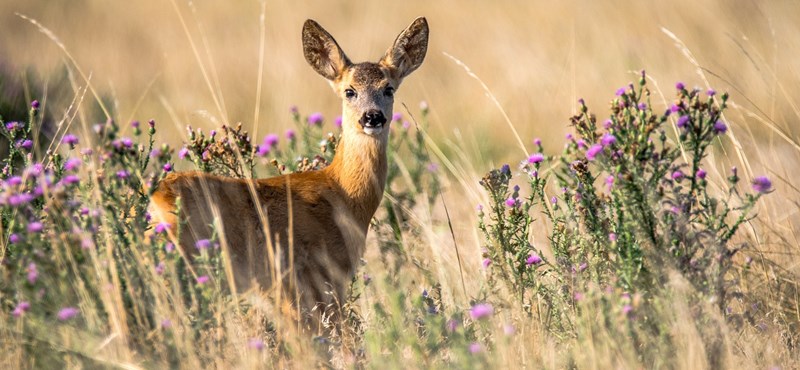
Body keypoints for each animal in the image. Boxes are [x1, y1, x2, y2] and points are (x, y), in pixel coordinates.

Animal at [147, 16, 428, 326]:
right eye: (349, 91)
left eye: (389, 89)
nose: (372, 117)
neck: (343, 195)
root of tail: (156, 199)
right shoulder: (316, 277)